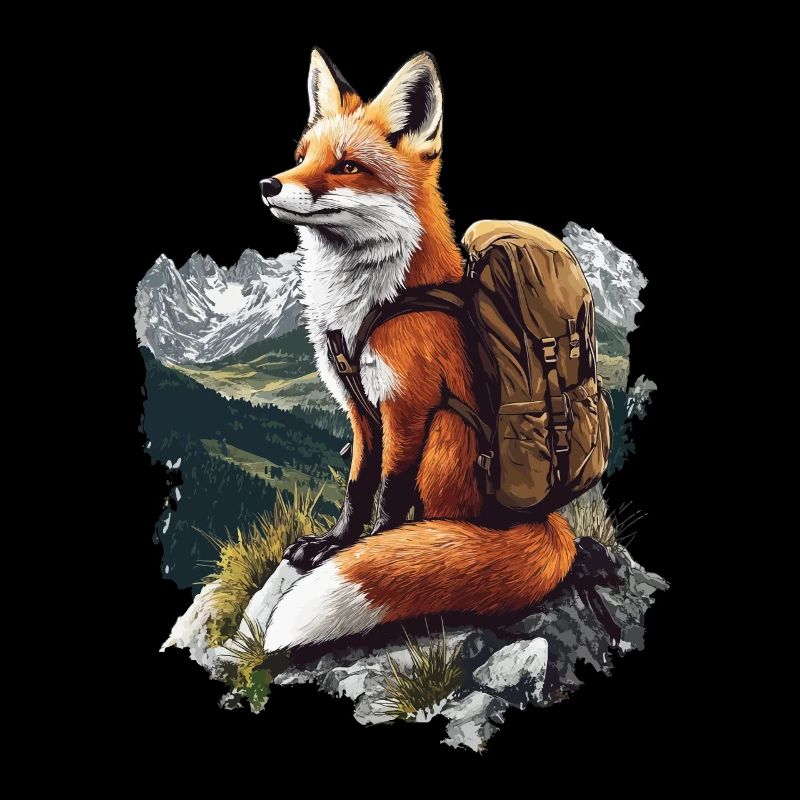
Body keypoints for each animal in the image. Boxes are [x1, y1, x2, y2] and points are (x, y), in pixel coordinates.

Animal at [257, 49, 580, 652]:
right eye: (302, 158)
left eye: (347, 167)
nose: (268, 184)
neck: (367, 306)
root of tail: (542, 519)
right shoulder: (361, 410)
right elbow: (358, 485)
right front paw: (333, 544)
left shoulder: (408, 405)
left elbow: (388, 493)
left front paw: (374, 549)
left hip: (448, 434)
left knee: (442, 519)